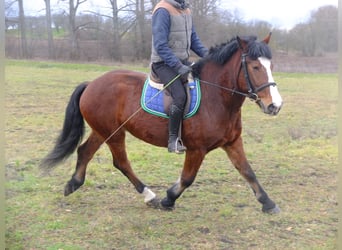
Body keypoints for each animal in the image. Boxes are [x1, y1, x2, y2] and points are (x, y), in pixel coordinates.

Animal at [40, 32, 284, 213]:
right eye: (255, 67)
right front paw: (168, 199)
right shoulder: (196, 149)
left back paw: (73, 183)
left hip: (103, 130)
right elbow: (187, 178)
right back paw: (149, 196)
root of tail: (91, 84)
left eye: (271, 66)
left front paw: (268, 203)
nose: (275, 105)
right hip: (114, 133)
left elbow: (247, 171)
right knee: (121, 162)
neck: (217, 97)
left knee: (85, 151)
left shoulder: (232, 142)